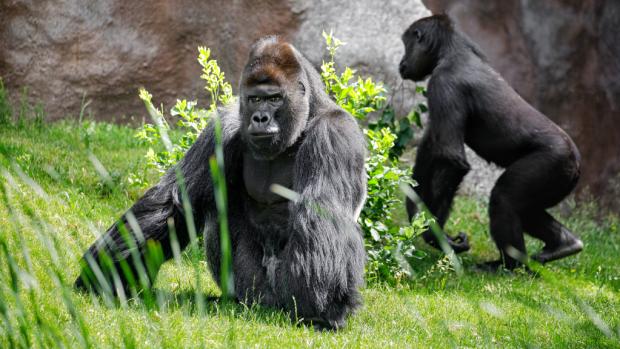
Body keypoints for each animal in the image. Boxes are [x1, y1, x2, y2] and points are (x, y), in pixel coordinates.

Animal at [77, 36, 368, 328]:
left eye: (274, 98)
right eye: (254, 99)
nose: (260, 118)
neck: (306, 118)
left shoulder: (334, 134)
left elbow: (320, 214)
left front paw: (324, 307)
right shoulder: (224, 127)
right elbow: (175, 201)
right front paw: (105, 272)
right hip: (251, 293)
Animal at [400, 14, 584, 270]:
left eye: (407, 45)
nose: (402, 62)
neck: (452, 49)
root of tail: (576, 163)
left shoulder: (443, 84)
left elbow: (449, 159)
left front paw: (435, 235)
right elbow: (431, 148)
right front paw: (417, 211)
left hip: (555, 162)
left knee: (504, 199)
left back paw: (508, 266)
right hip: (560, 178)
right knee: (527, 209)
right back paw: (564, 244)